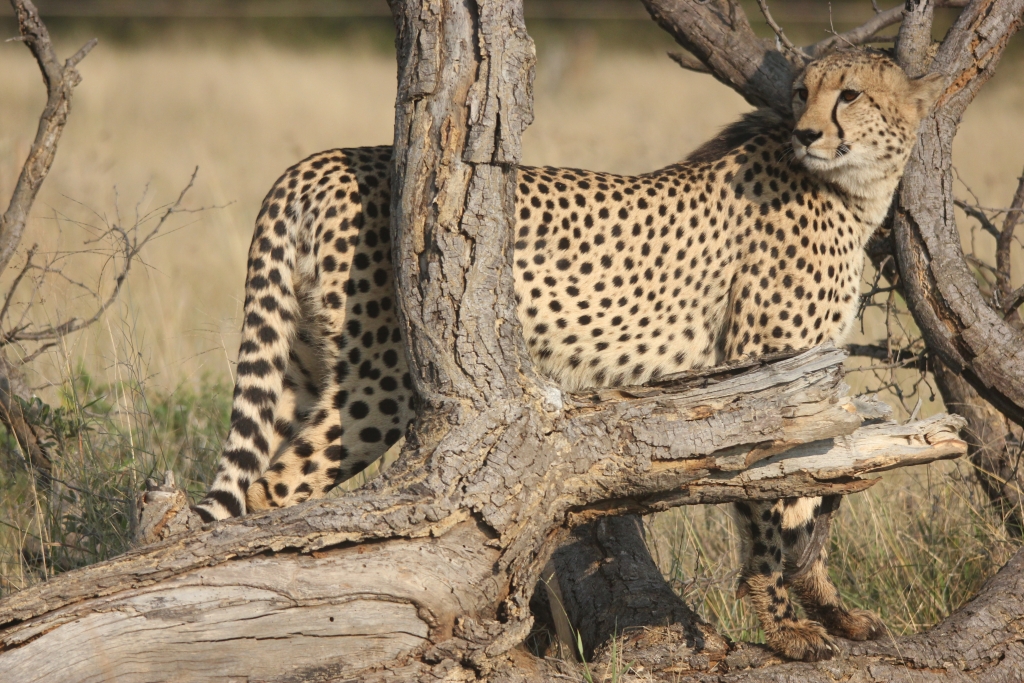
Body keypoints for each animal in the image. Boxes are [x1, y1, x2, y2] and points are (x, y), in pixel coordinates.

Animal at [195, 49, 944, 661]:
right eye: (801, 92)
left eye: (849, 94)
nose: (808, 132)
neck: (851, 188)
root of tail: (320, 162)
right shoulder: (770, 373)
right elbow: (776, 508)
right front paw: (787, 626)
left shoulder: (804, 384)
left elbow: (819, 500)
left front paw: (834, 611)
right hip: (377, 381)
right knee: (275, 485)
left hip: (304, 365)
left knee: (256, 487)